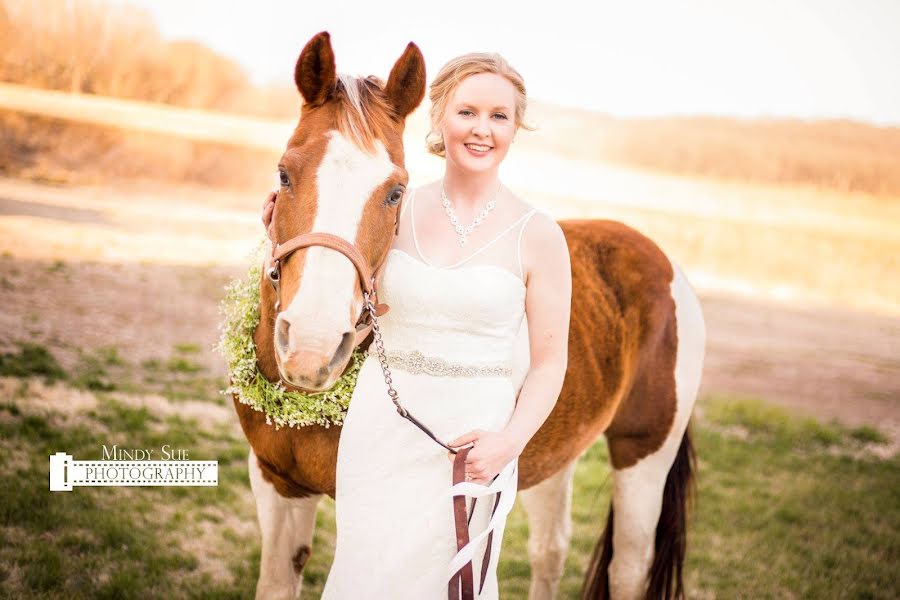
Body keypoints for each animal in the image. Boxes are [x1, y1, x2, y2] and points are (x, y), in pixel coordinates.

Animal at [234, 31, 712, 600]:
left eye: (396, 192)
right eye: (284, 173)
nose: (312, 346)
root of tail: (658, 258)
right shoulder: (277, 485)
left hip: (643, 455)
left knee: (628, 569)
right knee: (550, 550)